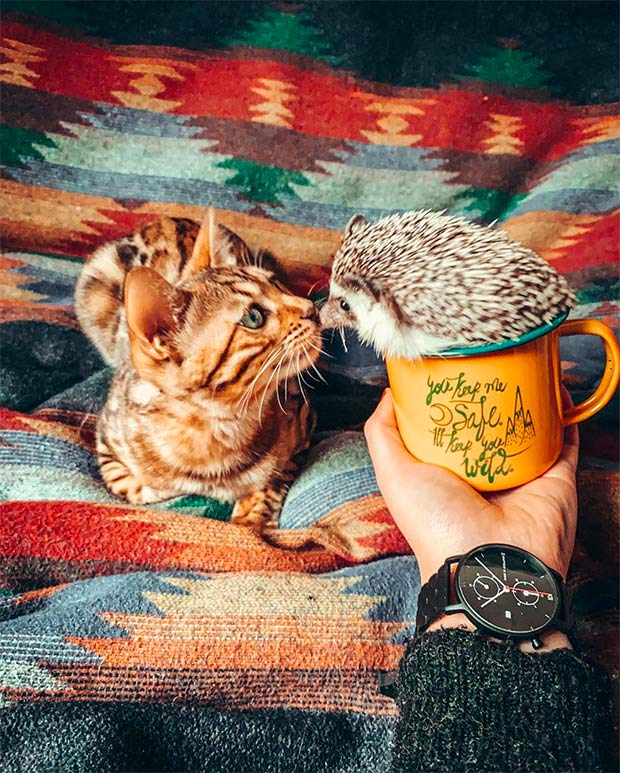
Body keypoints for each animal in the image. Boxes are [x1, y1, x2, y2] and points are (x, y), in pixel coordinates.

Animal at [75, 211, 322, 532]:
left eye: (276, 283)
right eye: (254, 317)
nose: (312, 309)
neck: (218, 423)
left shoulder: (303, 420)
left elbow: (272, 479)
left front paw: (252, 519)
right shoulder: (106, 440)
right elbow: (134, 488)